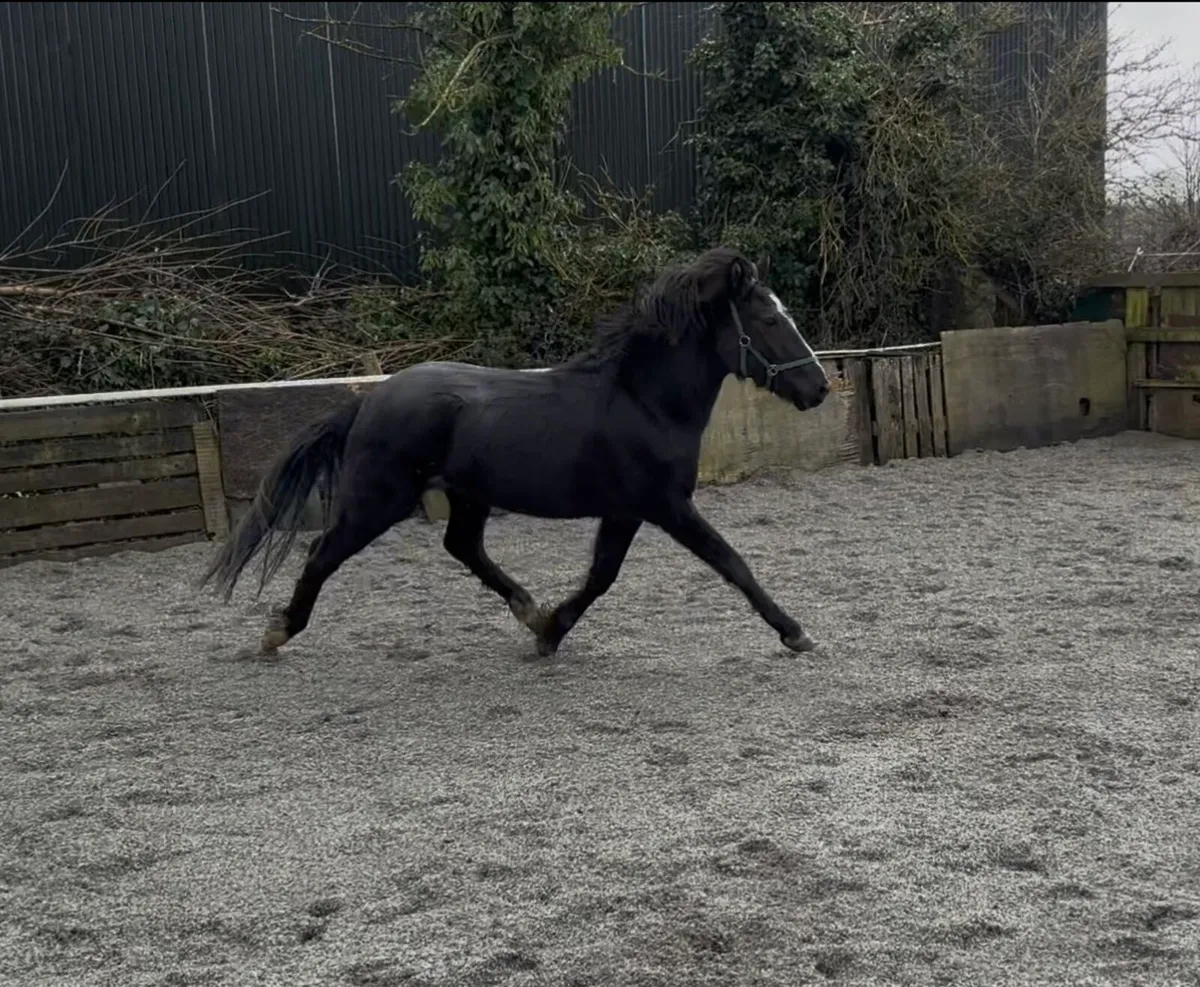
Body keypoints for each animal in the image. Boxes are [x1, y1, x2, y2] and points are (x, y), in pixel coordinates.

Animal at [200, 246, 832, 659]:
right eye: (769, 319)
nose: (820, 388)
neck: (643, 401)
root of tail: (369, 402)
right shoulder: (664, 505)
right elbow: (730, 563)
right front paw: (795, 631)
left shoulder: (626, 510)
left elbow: (603, 574)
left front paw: (548, 629)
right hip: (379, 499)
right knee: (321, 554)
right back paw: (278, 632)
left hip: (467, 495)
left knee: (462, 546)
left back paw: (526, 607)